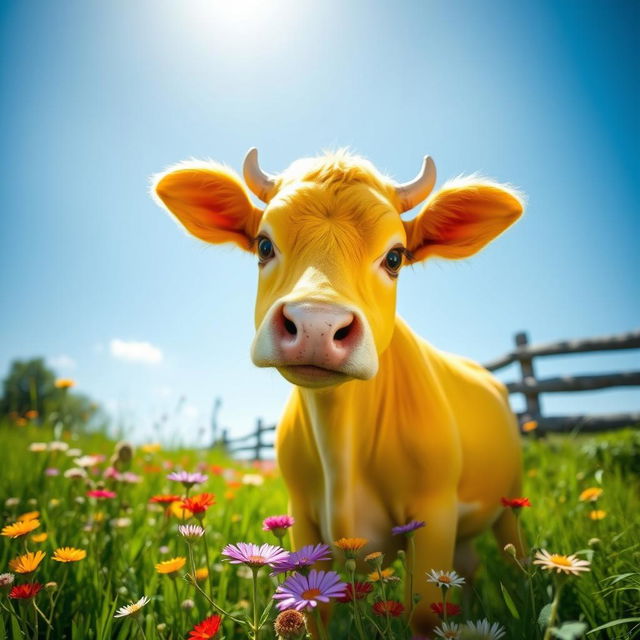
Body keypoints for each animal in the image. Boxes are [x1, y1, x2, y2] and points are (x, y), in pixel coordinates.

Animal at [152, 150, 524, 636]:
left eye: (395, 257)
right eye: (264, 246)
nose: (315, 324)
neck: (341, 447)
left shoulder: (434, 511)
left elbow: (426, 612)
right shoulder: (302, 519)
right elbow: (313, 607)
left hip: (510, 499)